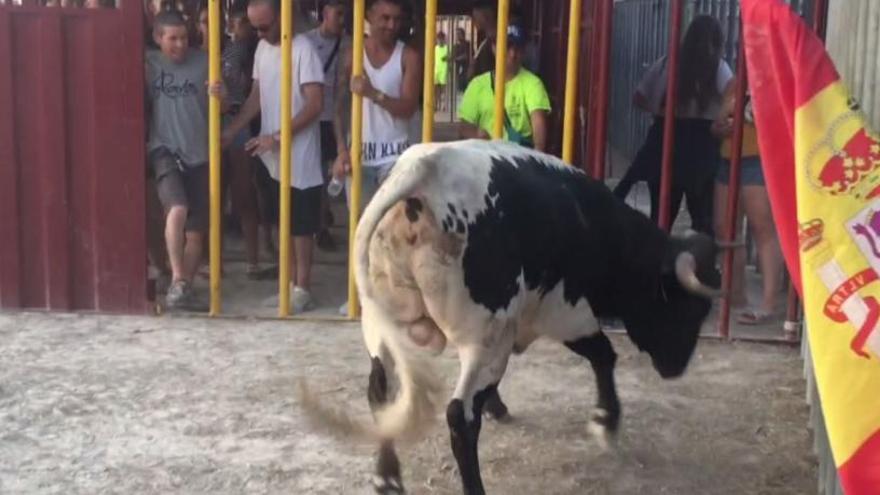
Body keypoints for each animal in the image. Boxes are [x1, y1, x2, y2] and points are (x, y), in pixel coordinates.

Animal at [302, 140, 720, 495]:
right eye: (688, 307)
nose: (675, 367)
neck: (590, 222)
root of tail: (422, 171)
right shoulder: (565, 312)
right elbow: (604, 355)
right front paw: (606, 420)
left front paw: (498, 405)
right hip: (485, 337)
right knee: (460, 415)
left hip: (386, 328)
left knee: (382, 395)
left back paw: (387, 477)